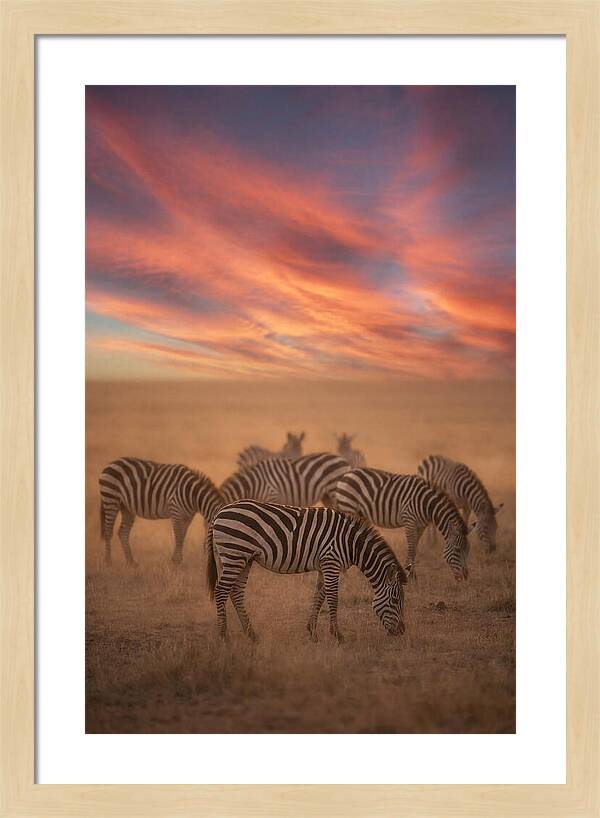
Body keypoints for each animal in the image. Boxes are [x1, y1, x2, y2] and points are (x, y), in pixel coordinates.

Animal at [206, 500, 407, 643]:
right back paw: (224, 636)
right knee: (221, 591)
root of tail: (219, 513)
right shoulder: (331, 562)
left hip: (243, 558)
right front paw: (337, 635)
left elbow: (319, 596)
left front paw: (312, 632)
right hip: (234, 553)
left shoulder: (324, 565)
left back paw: (252, 634)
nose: (401, 632)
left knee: (236, 592)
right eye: (395, 600)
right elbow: (333, 599)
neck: (351, 544)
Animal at [331, 468, 471, 581]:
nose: (465, 577)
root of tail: (346, 474)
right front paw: (410, 575)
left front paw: (413, 575)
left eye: (468, 550)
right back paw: (346, 575)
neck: (427, 504)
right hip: (349, 506)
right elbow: (411, 547)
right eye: (457, 550)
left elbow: (415, 549)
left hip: (361, 513)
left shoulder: (421, 526)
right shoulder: (409, 520)